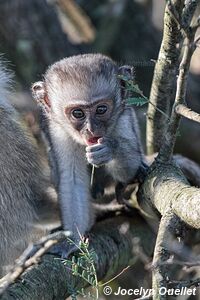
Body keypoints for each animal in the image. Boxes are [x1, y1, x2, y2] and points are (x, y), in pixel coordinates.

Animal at [32, 53, 145, 241]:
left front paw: (109, 150)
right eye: (78, 113)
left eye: (101, 109)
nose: (91, 129)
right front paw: (75, 241)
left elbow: (130, 168)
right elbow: (72, 179)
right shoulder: (57, 131)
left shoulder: (122, 117)